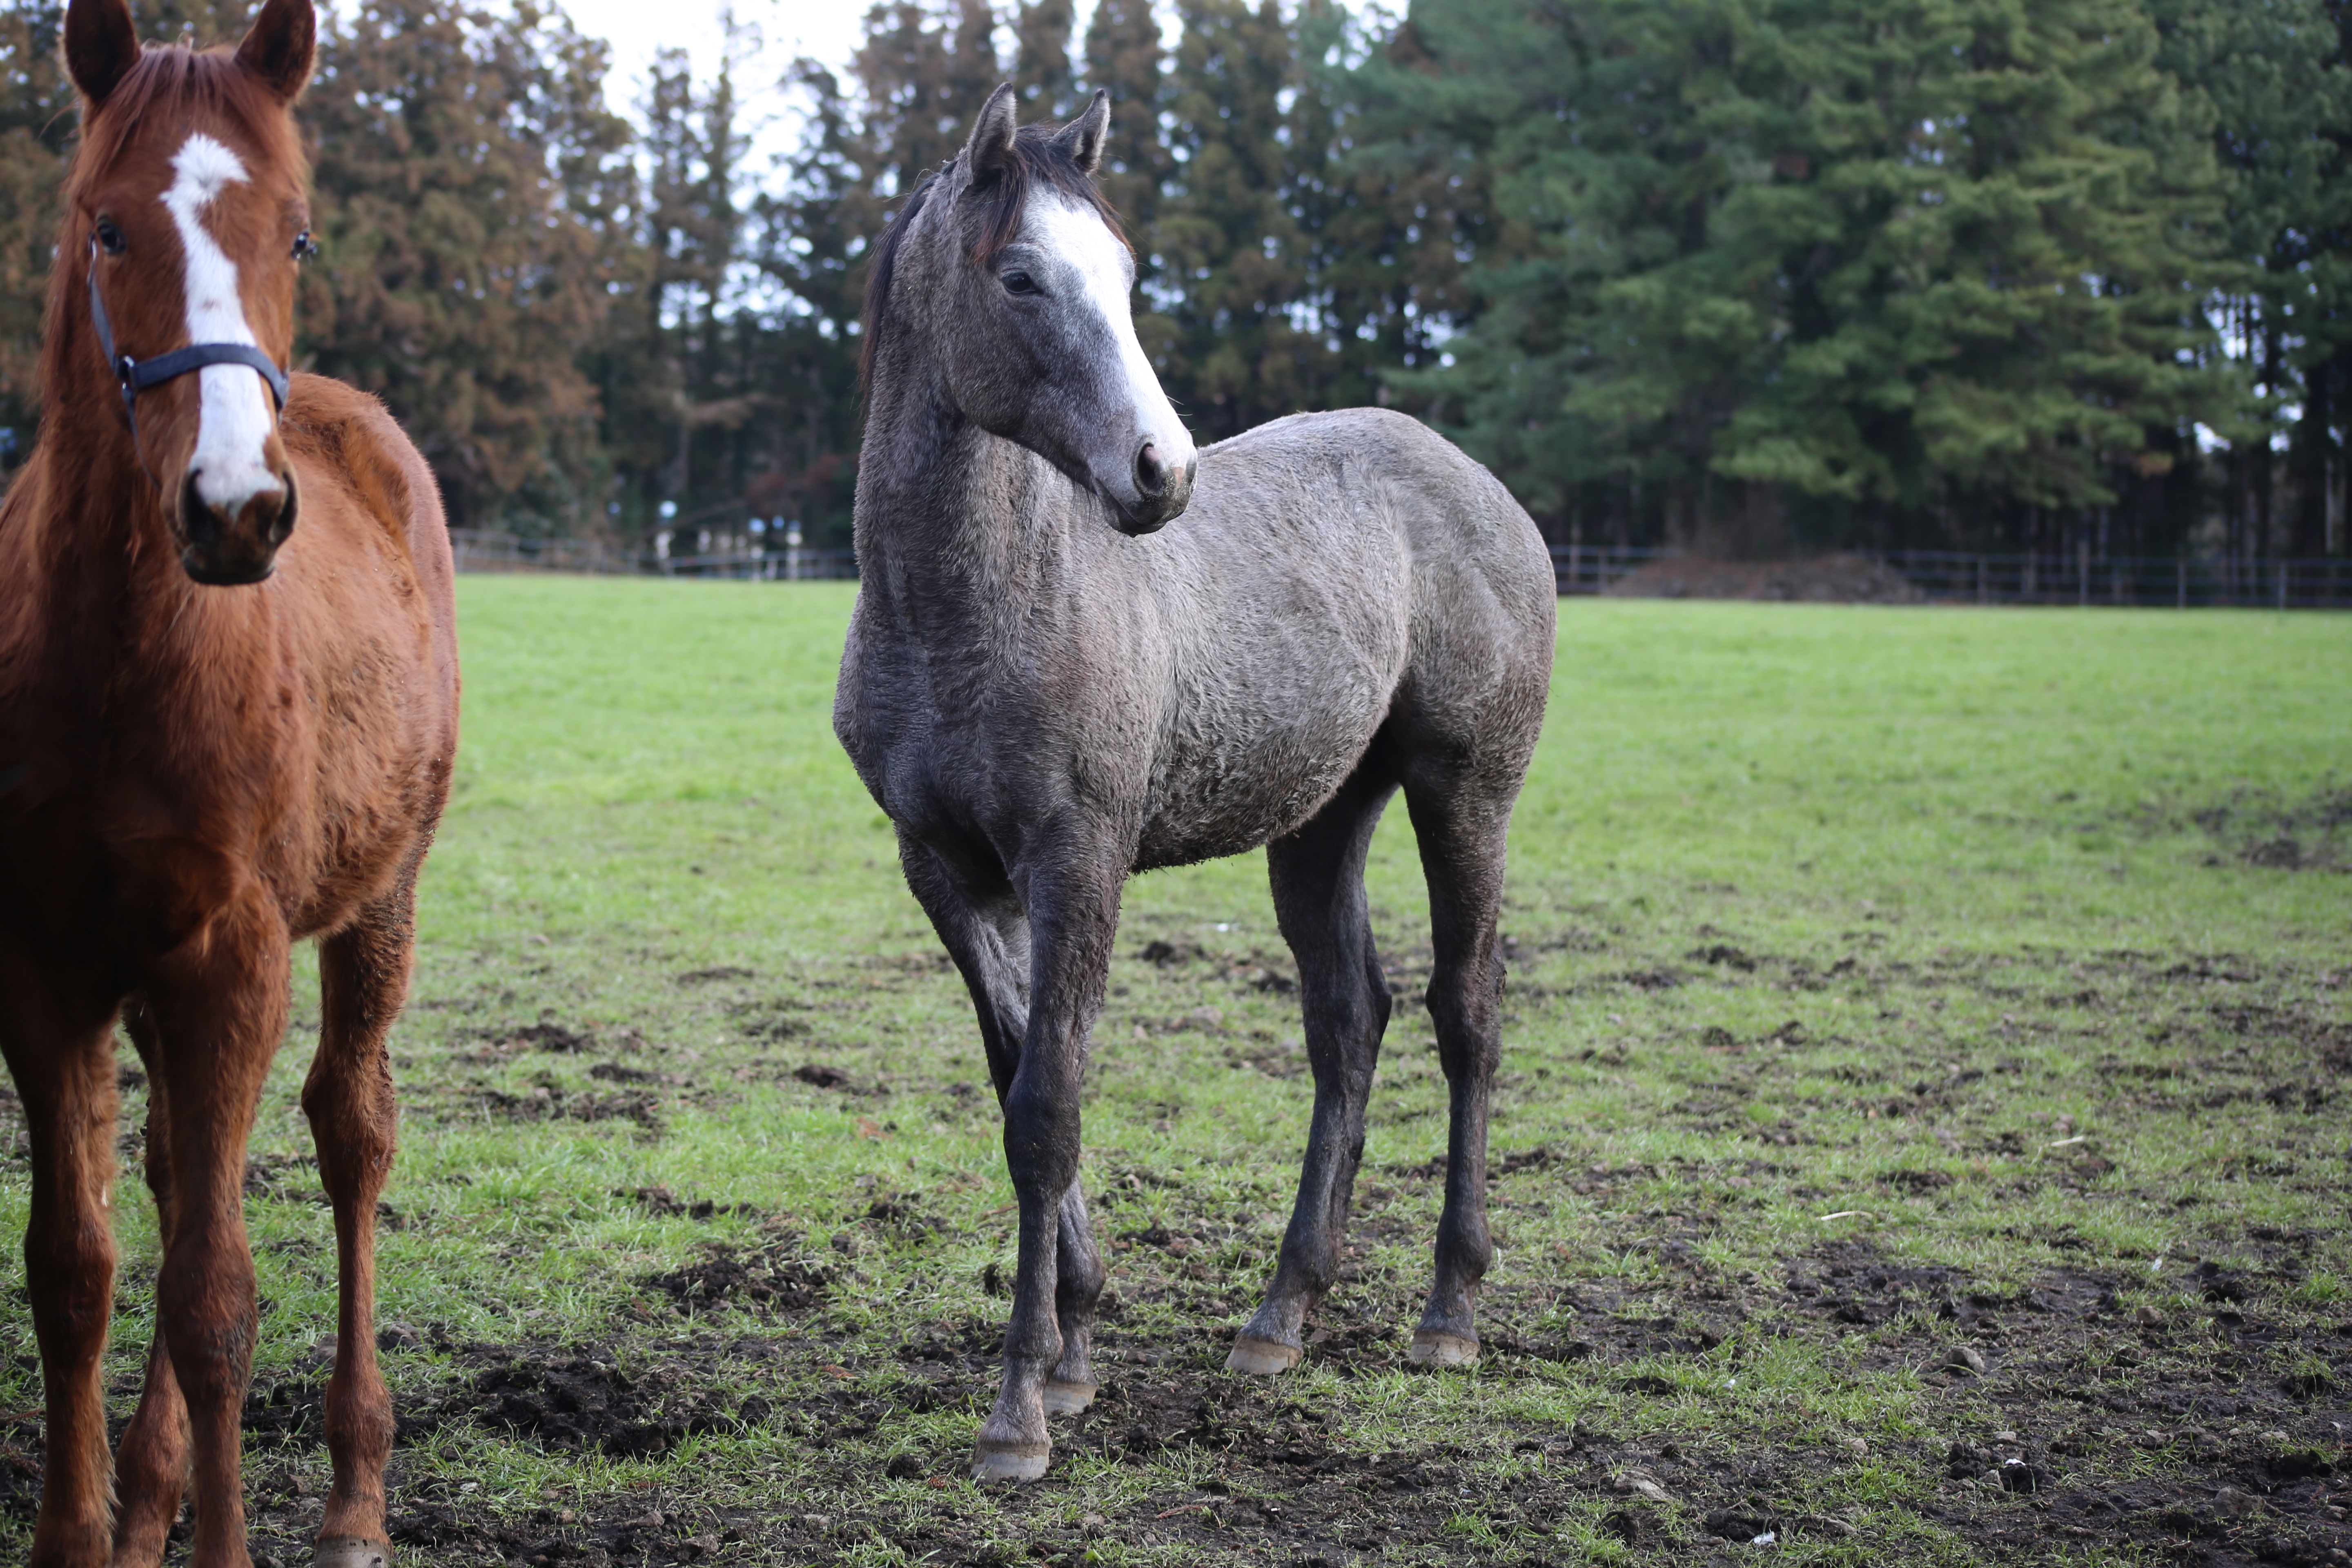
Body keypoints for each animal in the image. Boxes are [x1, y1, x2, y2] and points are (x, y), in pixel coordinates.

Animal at [0, 3, 456, 1568]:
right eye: (106, 227)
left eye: (299, 234)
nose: (237, 510)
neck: (124, 659)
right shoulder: (49, 965)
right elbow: (76, 1267)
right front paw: (84, 1532)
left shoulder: (233, 952)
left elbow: (215, 1298)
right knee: (165, 1174)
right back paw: (146, 1496)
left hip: (379, 901)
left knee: (351, 1137)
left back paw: (355, 1490)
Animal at [837, 86, 1552, 1486]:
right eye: (1020, 277)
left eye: (1124, 275)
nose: (1160, 473)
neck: (963, 612)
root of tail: (1477, 483)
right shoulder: (946, 872)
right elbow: (1016, 1074)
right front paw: (1074, 1346)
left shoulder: (1080, 858)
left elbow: (1046, 1109)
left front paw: (1021, 1411)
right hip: (1320, 823)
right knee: (1351, 1020)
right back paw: (1281, 1315)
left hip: (1468, 794)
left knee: (1467, 1015)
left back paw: (1449, 1313)